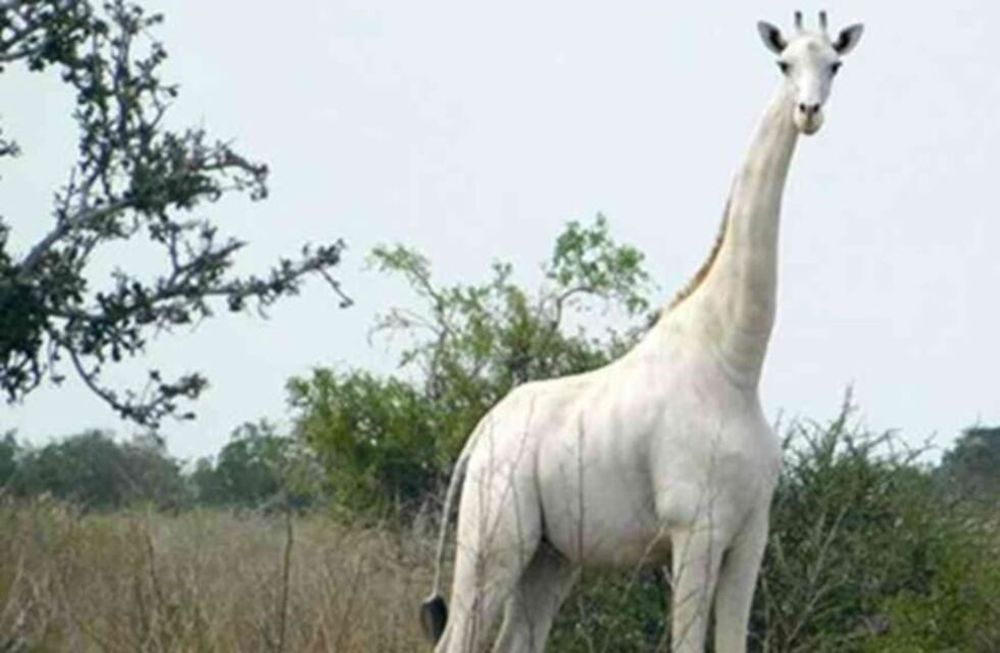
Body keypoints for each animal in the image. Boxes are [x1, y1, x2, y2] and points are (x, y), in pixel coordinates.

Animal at [421, 12, 864, 652]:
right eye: (784, 64)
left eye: (835, 64)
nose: (809, 112)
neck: (735, 364)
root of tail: (479, 437)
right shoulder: (695, 528)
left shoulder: (750, 534)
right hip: (494, 542)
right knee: (456, 638)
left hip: (551, 556)